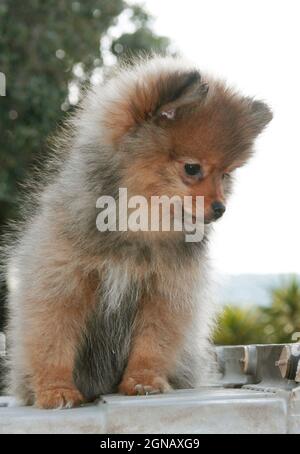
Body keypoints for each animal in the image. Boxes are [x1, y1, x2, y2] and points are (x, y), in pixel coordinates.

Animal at [3, 55, 274, 408]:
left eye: (226, 175)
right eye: (192, 169)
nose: (220, 208)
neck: (137, 226)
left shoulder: (166, 292)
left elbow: (152, 343)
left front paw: (143, 381)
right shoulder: (61, 282)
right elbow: (53, 340)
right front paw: (55, 389)